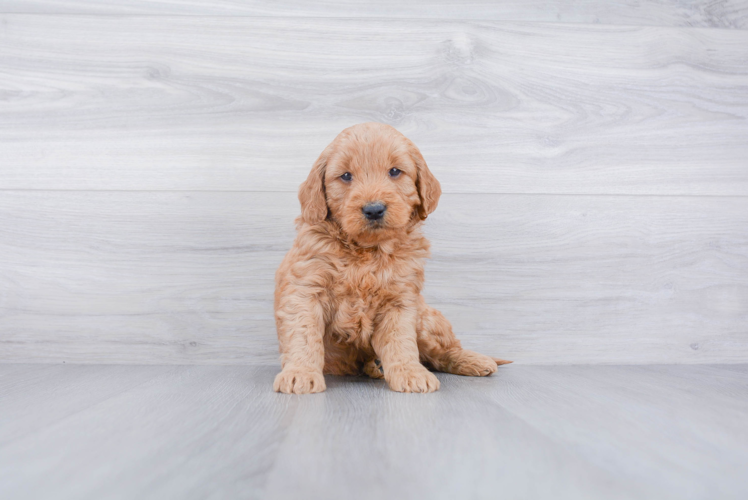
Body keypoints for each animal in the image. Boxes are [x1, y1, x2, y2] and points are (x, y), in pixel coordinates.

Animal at [274, 122, 508, 394]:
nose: (374, 209)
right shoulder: (305, 290)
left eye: (395, 171)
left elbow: (401, 340)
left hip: (425, 318)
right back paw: (375, 366)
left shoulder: (401, 299)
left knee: (442, 352)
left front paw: (410, 373)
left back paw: (474, 360)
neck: (367, 251)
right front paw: (300, 373)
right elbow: (304, 334)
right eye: (346, 176)